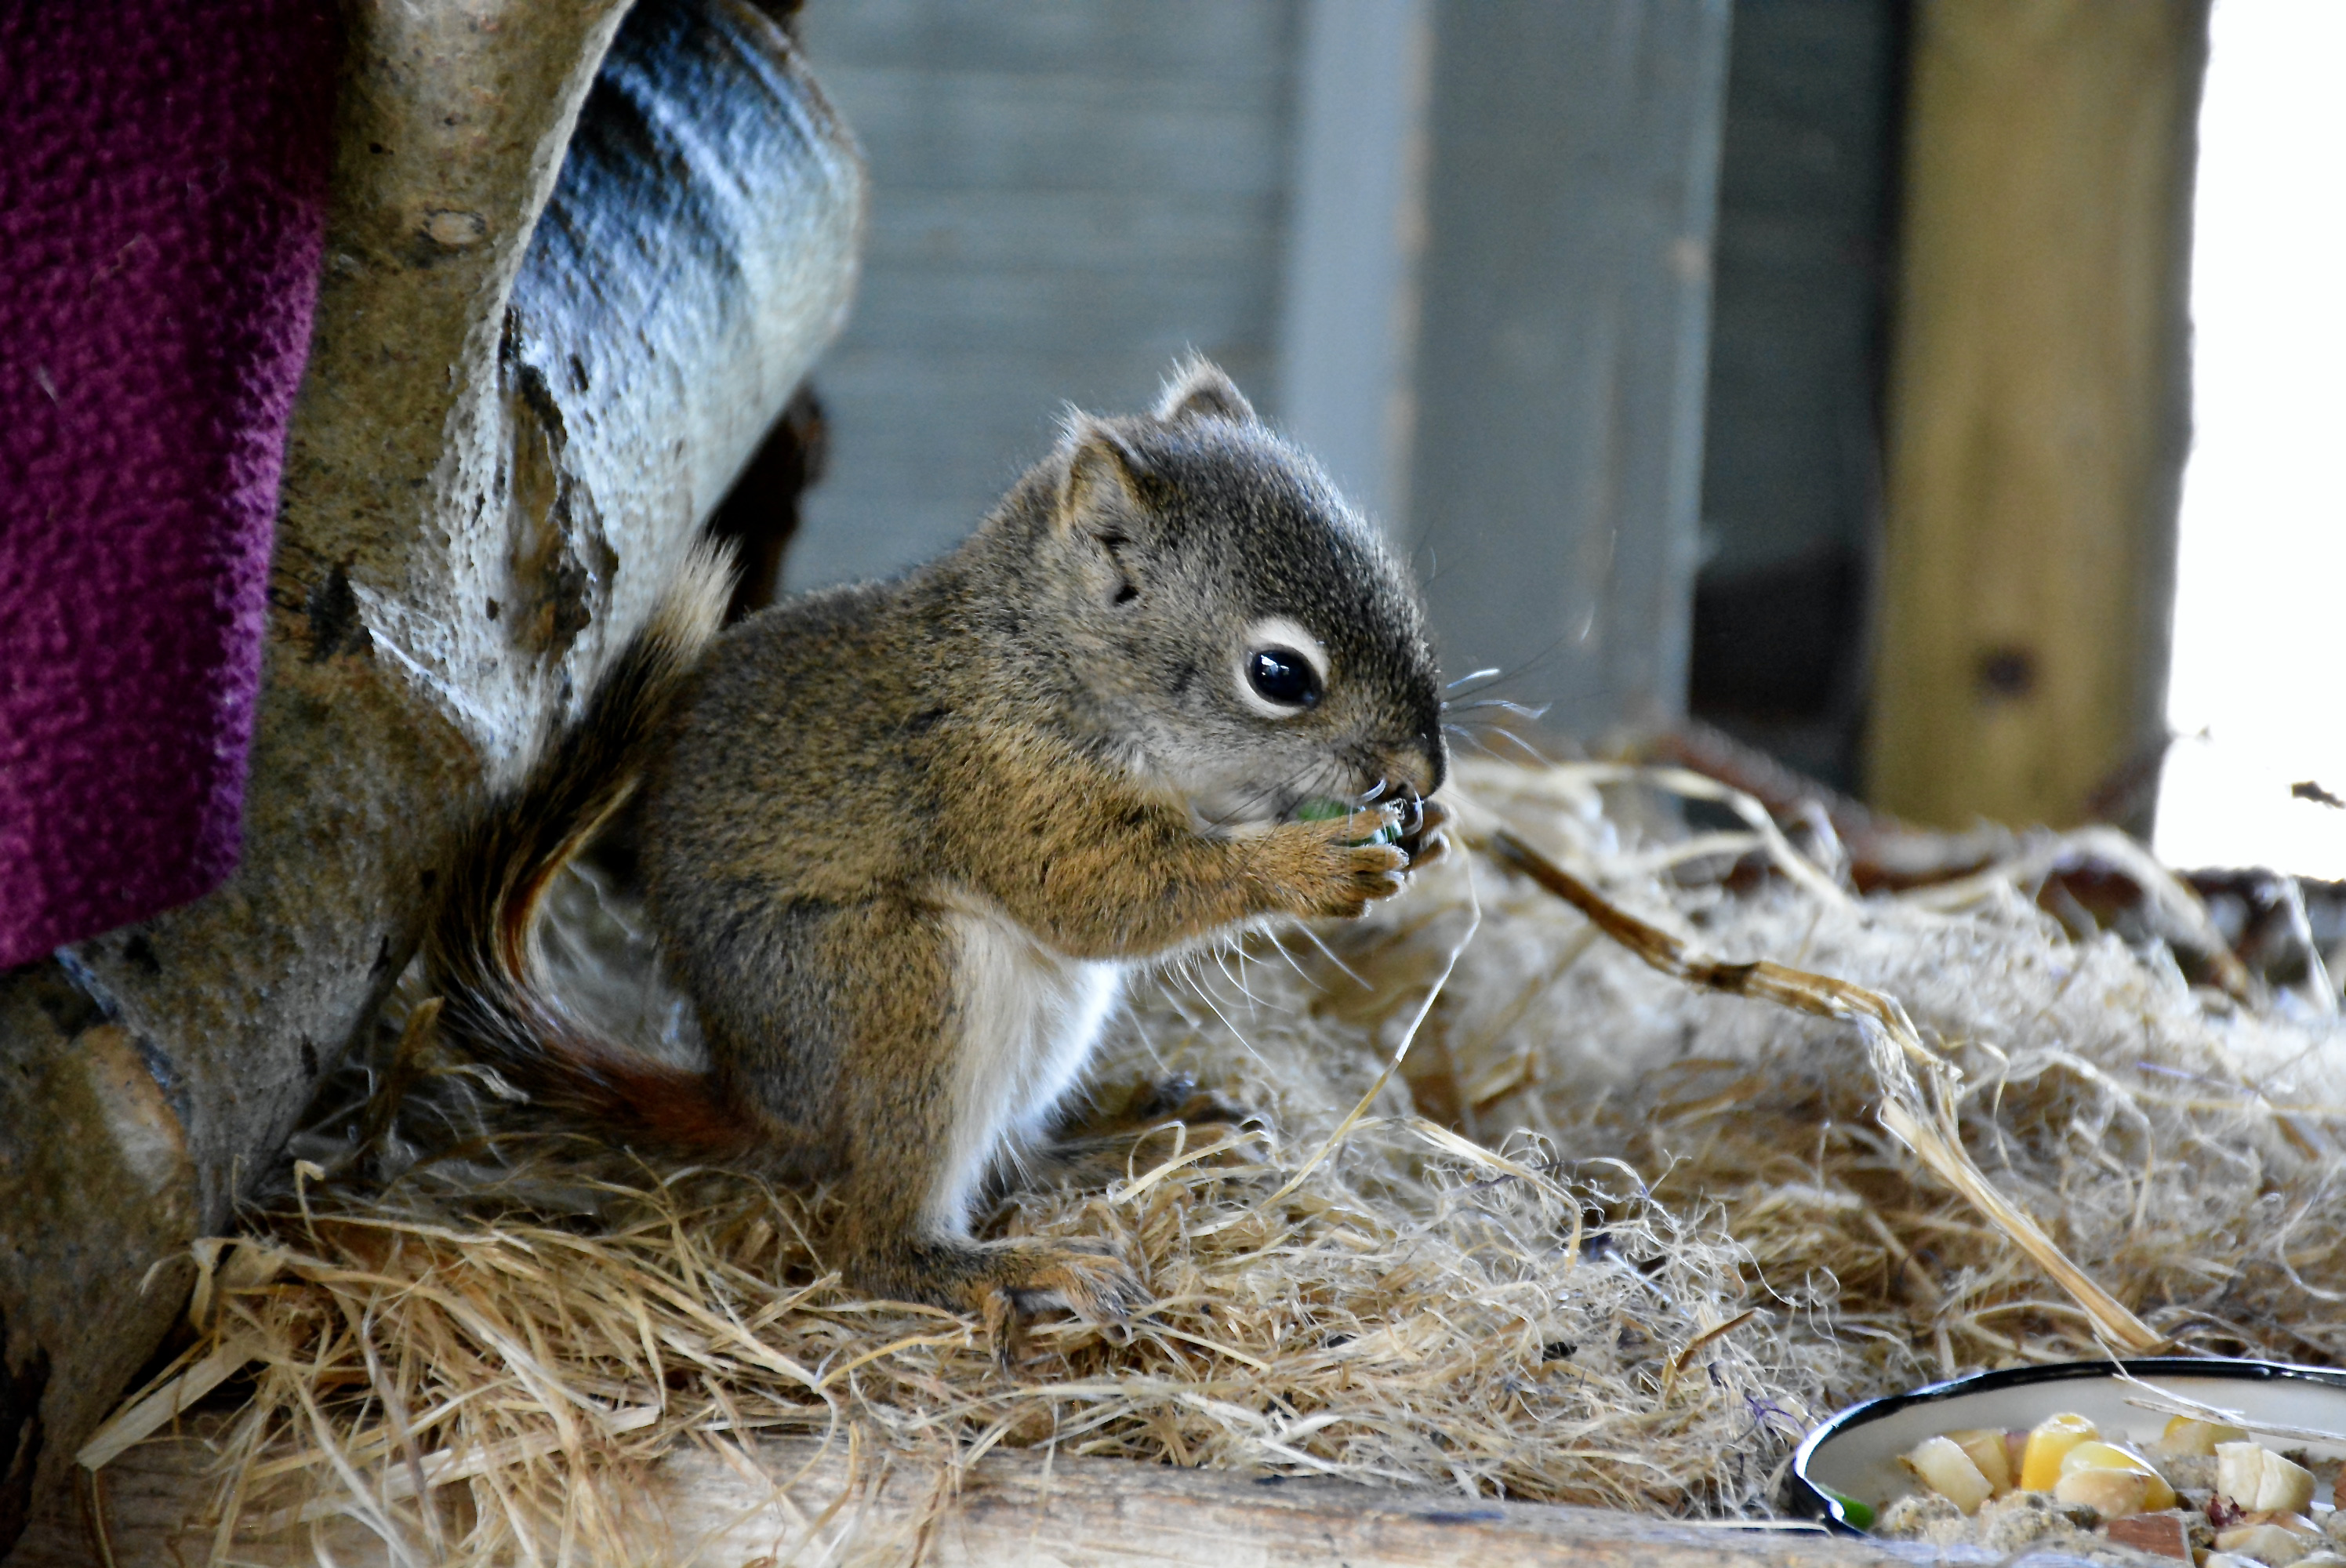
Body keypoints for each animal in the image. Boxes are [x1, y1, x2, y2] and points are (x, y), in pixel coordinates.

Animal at [427, 358, 1450, 1333]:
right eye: (1279, 673)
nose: (1427, 769)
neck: (1042, 656)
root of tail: (760, 1097)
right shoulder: (999, 778)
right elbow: (1101, 894)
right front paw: (1308, 866)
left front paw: (1426, 833)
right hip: (900, 984)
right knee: (878, 1244)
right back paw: (1000, 1265)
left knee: (1018, 1149)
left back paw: (1146, 1132)